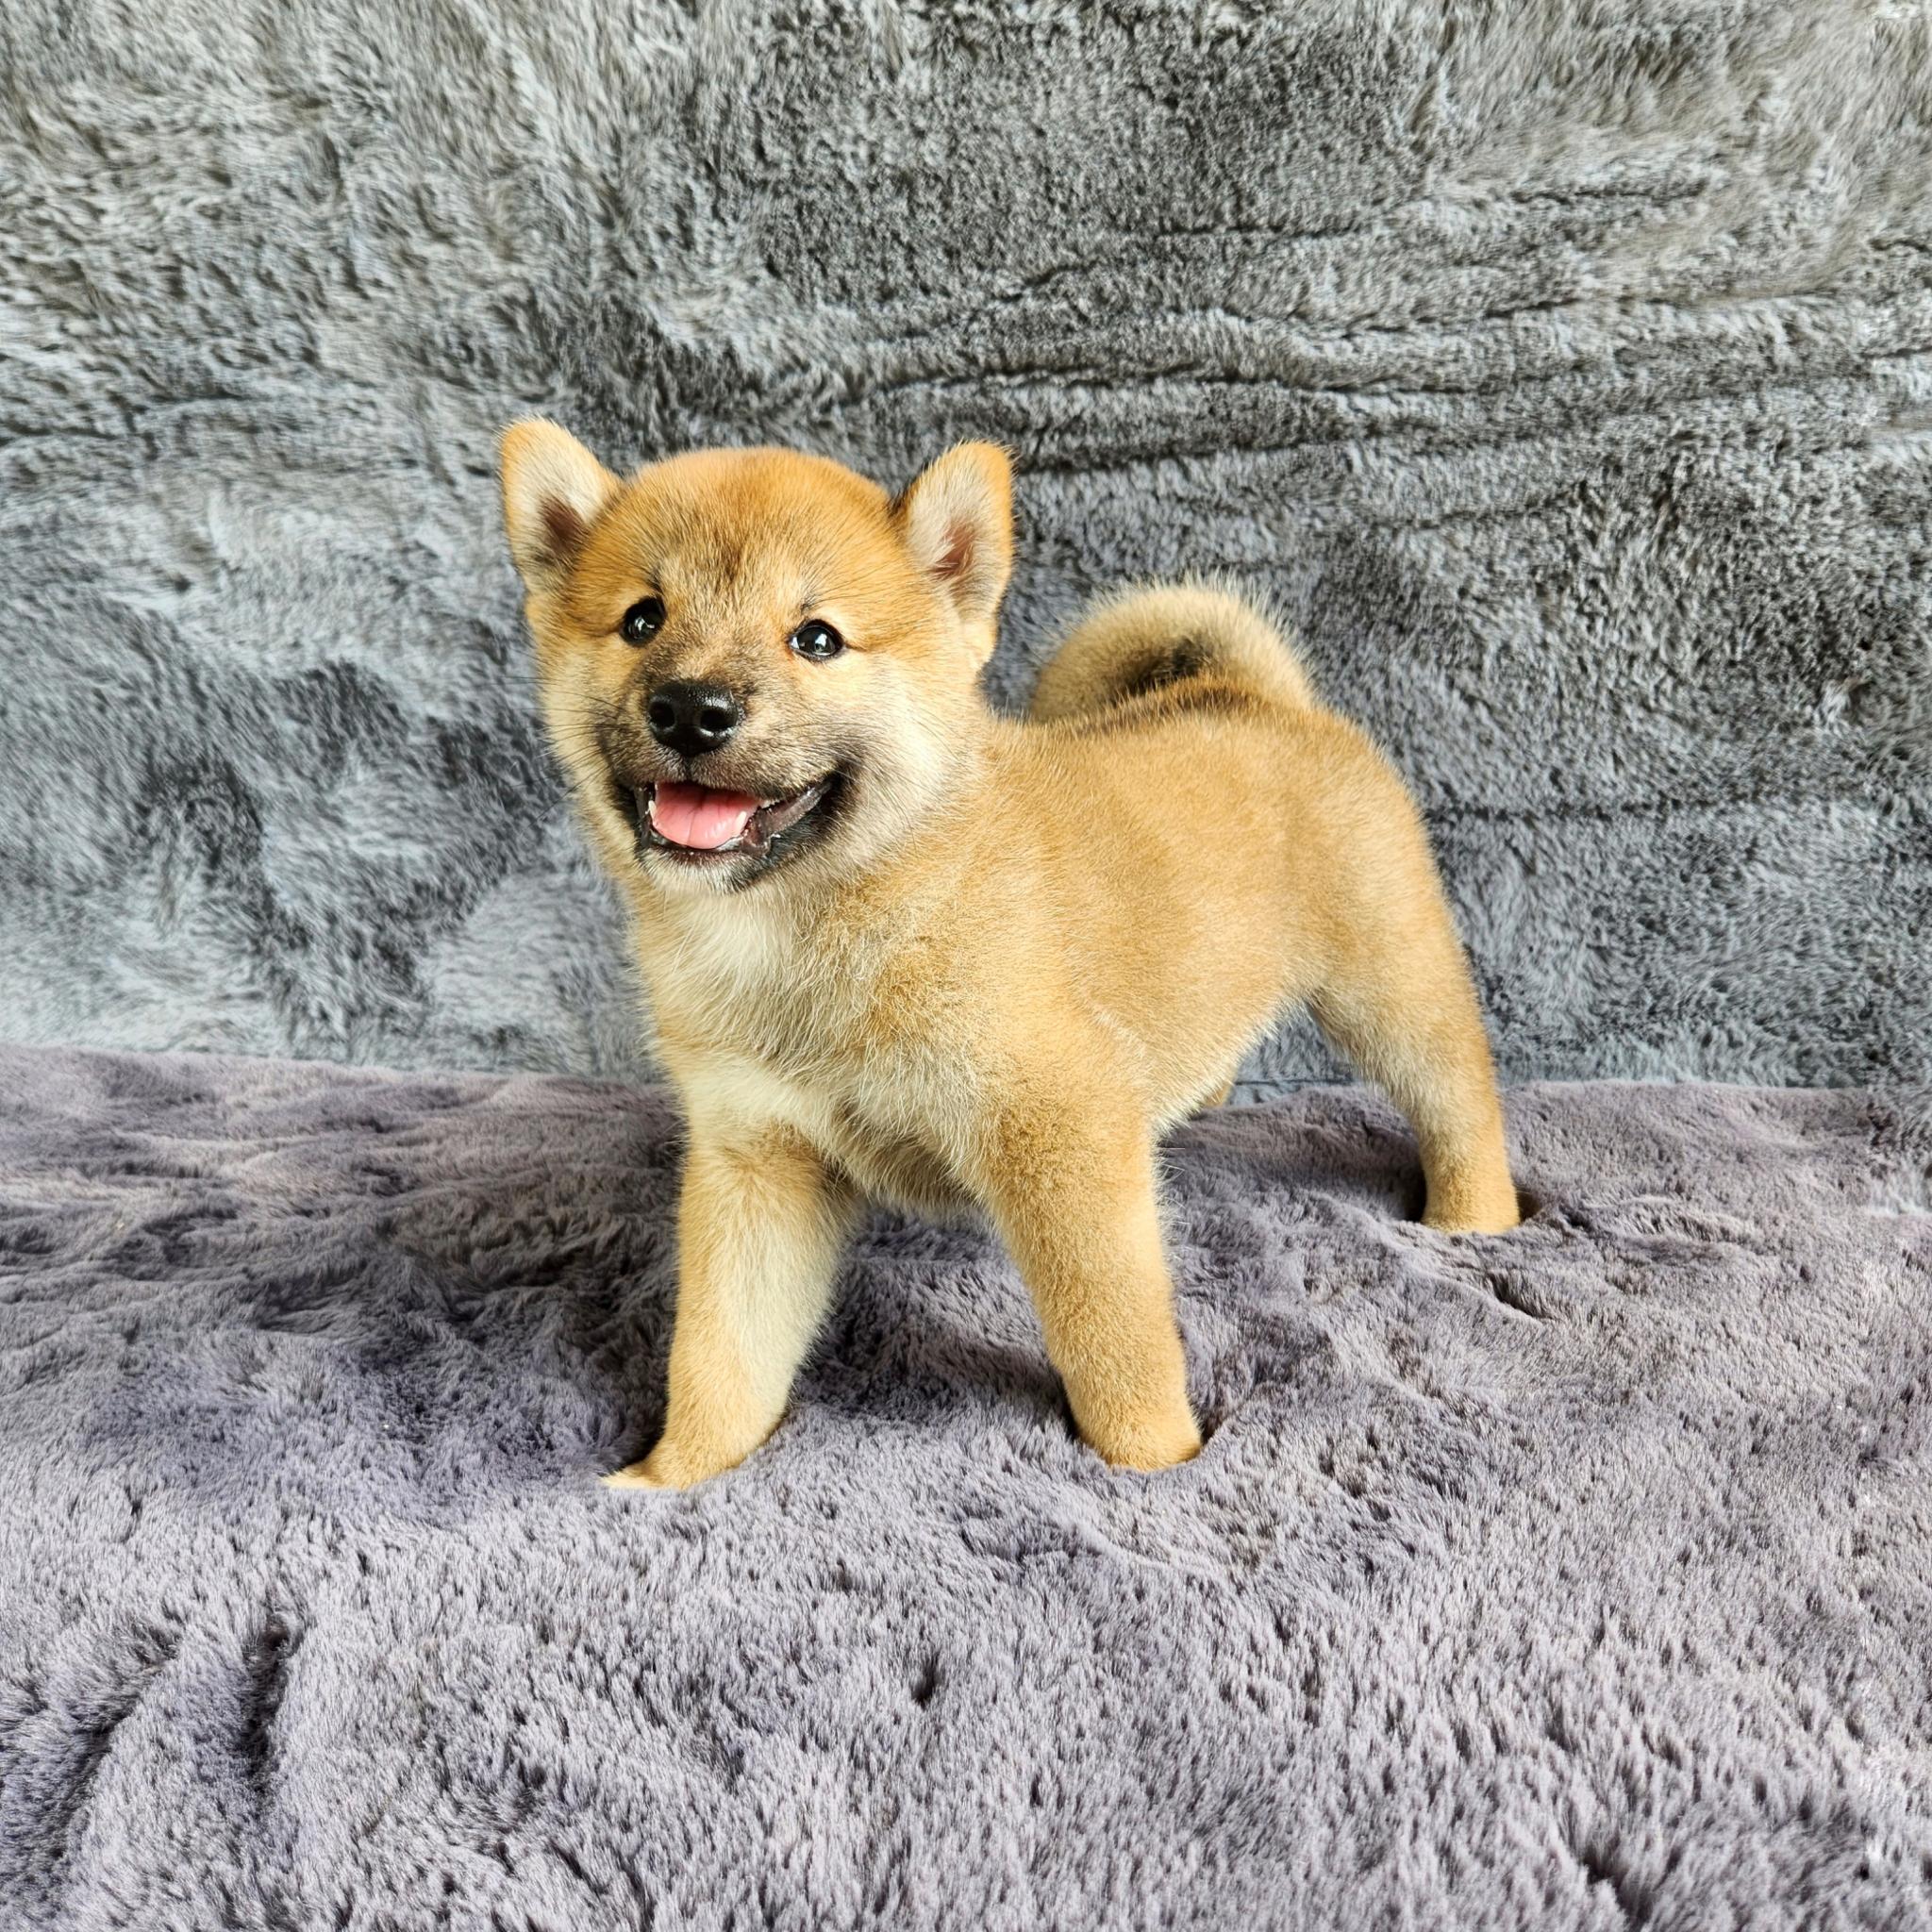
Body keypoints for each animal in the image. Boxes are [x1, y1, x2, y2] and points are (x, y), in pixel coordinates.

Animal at [498, 423, 1520, 1487]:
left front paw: (1156, 1458)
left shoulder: (1060, 1137)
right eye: (642, 620)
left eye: (815, 638)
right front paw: (675, 1475)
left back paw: (1474, 1218)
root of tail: (1250, 693)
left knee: (1456, 1096)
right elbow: (720, 1349)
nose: (691, 708)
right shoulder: (758, 1158)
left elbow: (1110, 1333)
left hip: (1388, 986)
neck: (831, 921)